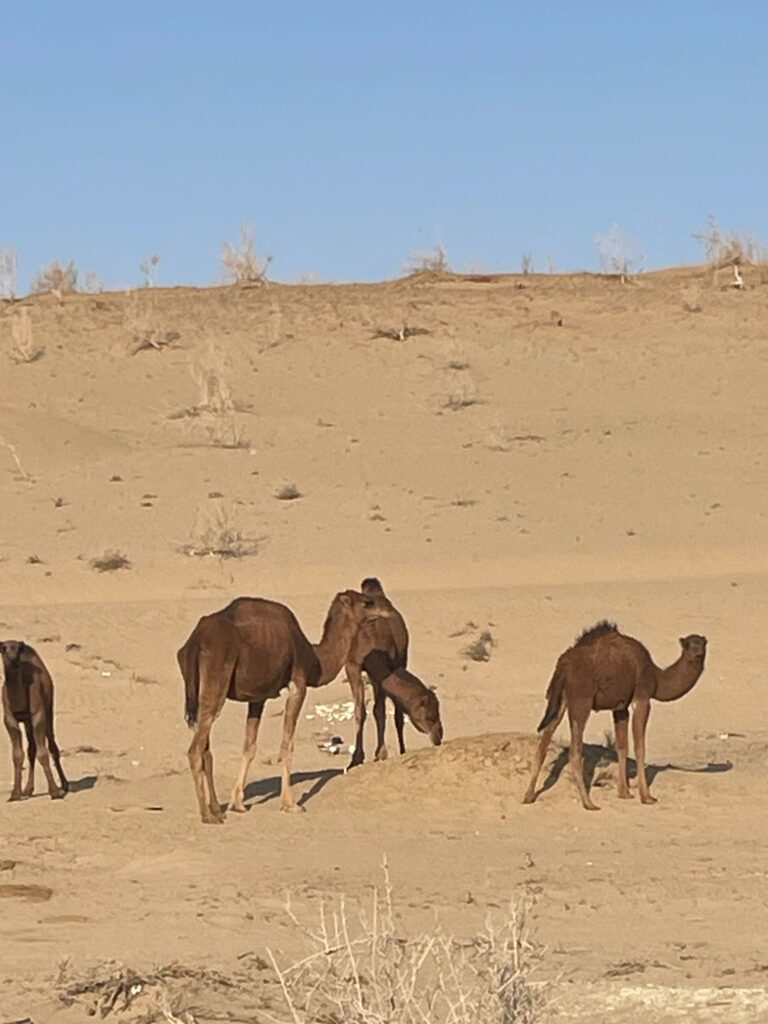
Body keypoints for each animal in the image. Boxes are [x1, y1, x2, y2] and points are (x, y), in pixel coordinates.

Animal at [1, 640, 68, 801]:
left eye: (19, 649)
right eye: (3, 648)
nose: (13, 659)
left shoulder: (38, 714)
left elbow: (43, 753)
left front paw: (54, 792)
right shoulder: (9, 719)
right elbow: (17, 754)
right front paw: (15, 794)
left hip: (48, 708)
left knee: (52, 745)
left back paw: (64, 785)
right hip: (27, 722)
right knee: (31, 748)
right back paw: (28, 790)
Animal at [177, 589, 390, 824]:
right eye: (367, 602)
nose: (387, 610)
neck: (314, 659)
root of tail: (196, 641)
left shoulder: (257, 697)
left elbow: (249, 746)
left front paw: (238, 803)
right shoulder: (298, 684)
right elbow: (287, 744)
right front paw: (290, 804)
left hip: (198, 692)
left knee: (205, 748)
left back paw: (216, 808)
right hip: (216, 679)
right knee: (195, 750)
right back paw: (207, 815)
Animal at [344, 577, 409, 767]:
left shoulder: (381, 670)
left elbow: (378, 710)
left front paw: (381, 753)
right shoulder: (352, 666)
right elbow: (360, 711)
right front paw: (356, 758)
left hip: (400, 660)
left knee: (393, 712)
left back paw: (402, 750)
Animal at [522, 621, 707, 810]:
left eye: (702, 643)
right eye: (688, 644)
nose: (697, 653)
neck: (657, 677)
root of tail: (563, 667)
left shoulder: (620, 707)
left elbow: (622, 746)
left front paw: (624, 793)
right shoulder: (642, 697)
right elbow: (639, 747)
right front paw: (647, 797)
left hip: (559, 699)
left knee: (545, 740)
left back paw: (528, 796)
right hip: (581, 701)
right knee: (575, 751)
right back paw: (588, 803)